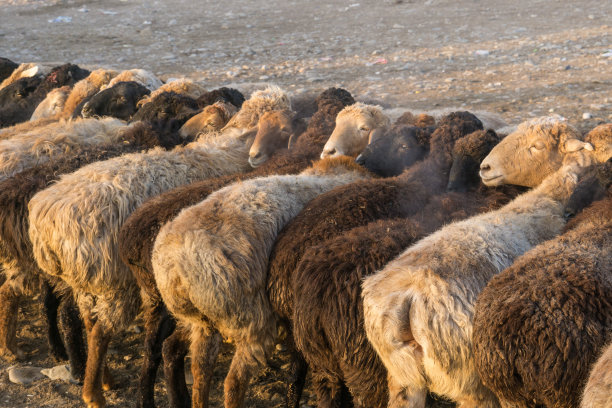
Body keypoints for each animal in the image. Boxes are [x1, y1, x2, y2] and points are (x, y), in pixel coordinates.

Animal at [29, 86, 292, 408]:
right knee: (101, 330)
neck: (228, 148)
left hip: (90, 281)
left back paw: (105, 379)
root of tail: (45, 220)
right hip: (114, 283)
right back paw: (93, 392)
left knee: (89, 323)